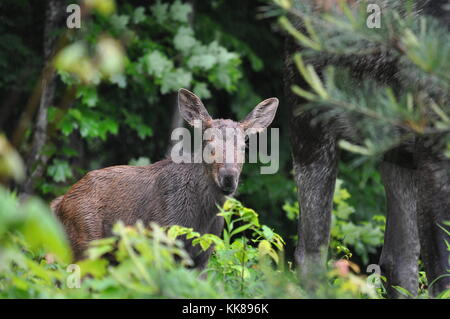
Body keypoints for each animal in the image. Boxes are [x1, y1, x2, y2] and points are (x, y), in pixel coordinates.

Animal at [51, 89, 278, 268]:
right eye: (208, 142)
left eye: (244, 146)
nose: (228, 177)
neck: (202, 217)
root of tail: (59, 203)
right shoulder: (162, 242)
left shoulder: (203, 256)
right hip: (85, 244)